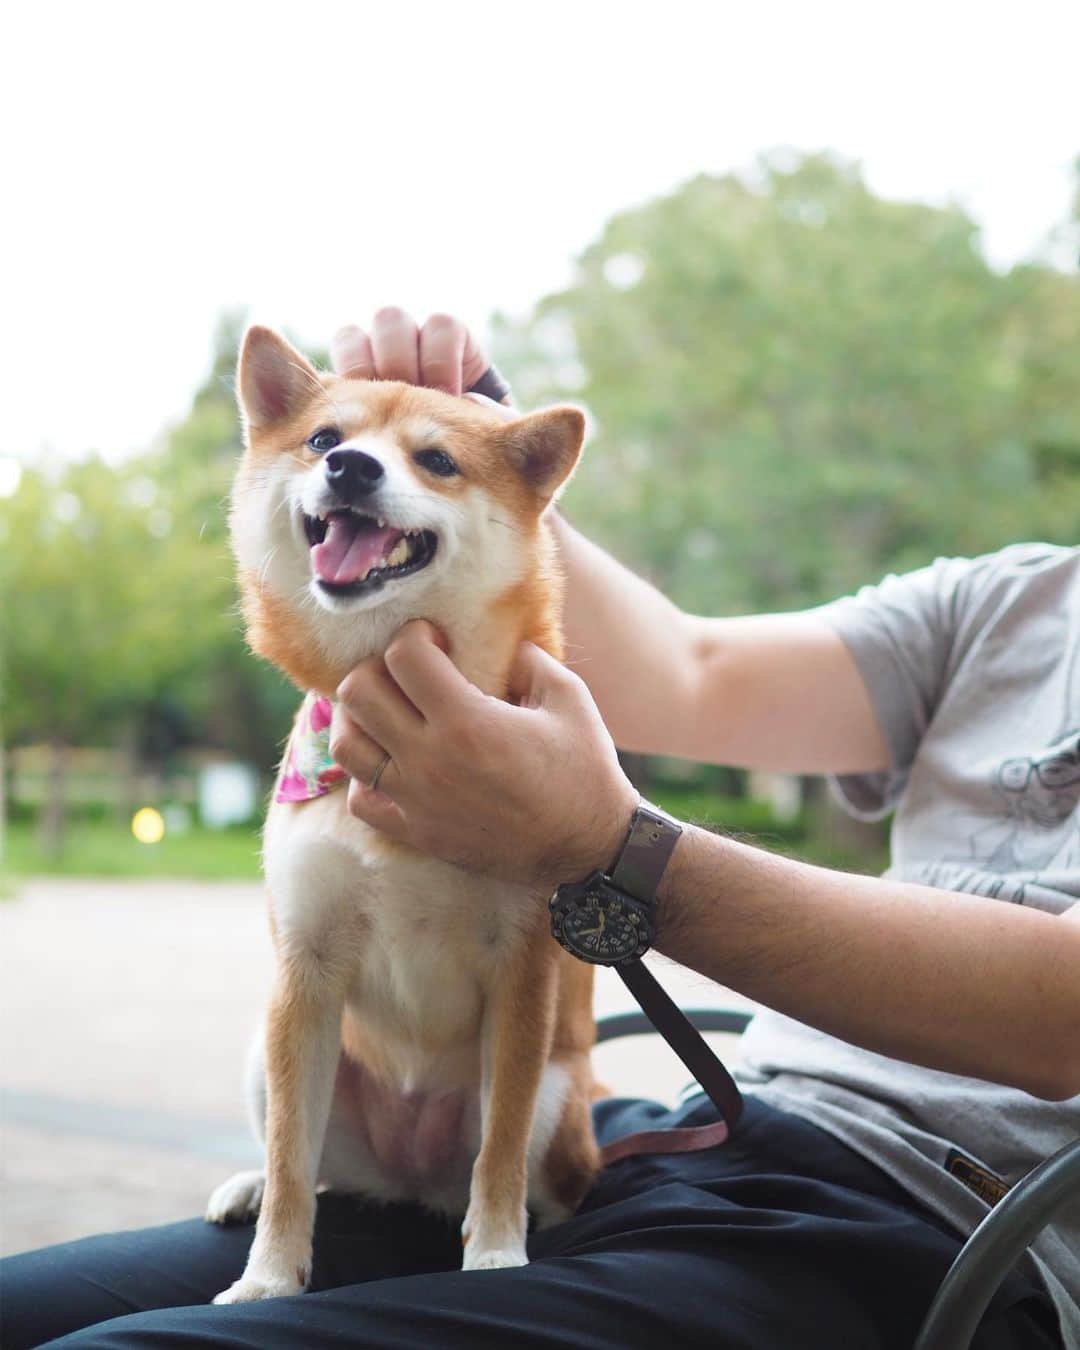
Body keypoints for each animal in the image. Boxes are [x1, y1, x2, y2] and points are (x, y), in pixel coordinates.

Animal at [206, 321, 602, 1301]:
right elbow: (290, 1166)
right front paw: (269, 1278)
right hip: (270, 1054)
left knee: (525, 1169)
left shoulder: (522, 977)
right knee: (305, 1162)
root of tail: (413, 1183)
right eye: (323, 438)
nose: (349, 467)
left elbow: (499, 1153)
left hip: (557, 1094)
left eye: (437, 460)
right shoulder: (304, 971)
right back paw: (246, 1184)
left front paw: (495, 1254)